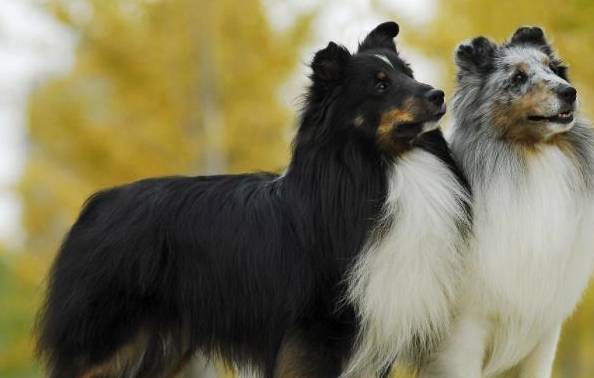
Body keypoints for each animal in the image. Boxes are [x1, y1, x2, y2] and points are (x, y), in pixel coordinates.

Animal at [38, 22, 468, 376]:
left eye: (408, 74)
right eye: (380, 85)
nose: (438, 94)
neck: (381, 170)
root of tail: (99, 203)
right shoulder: (314, 332)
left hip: (160, 348)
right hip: (107, 342)